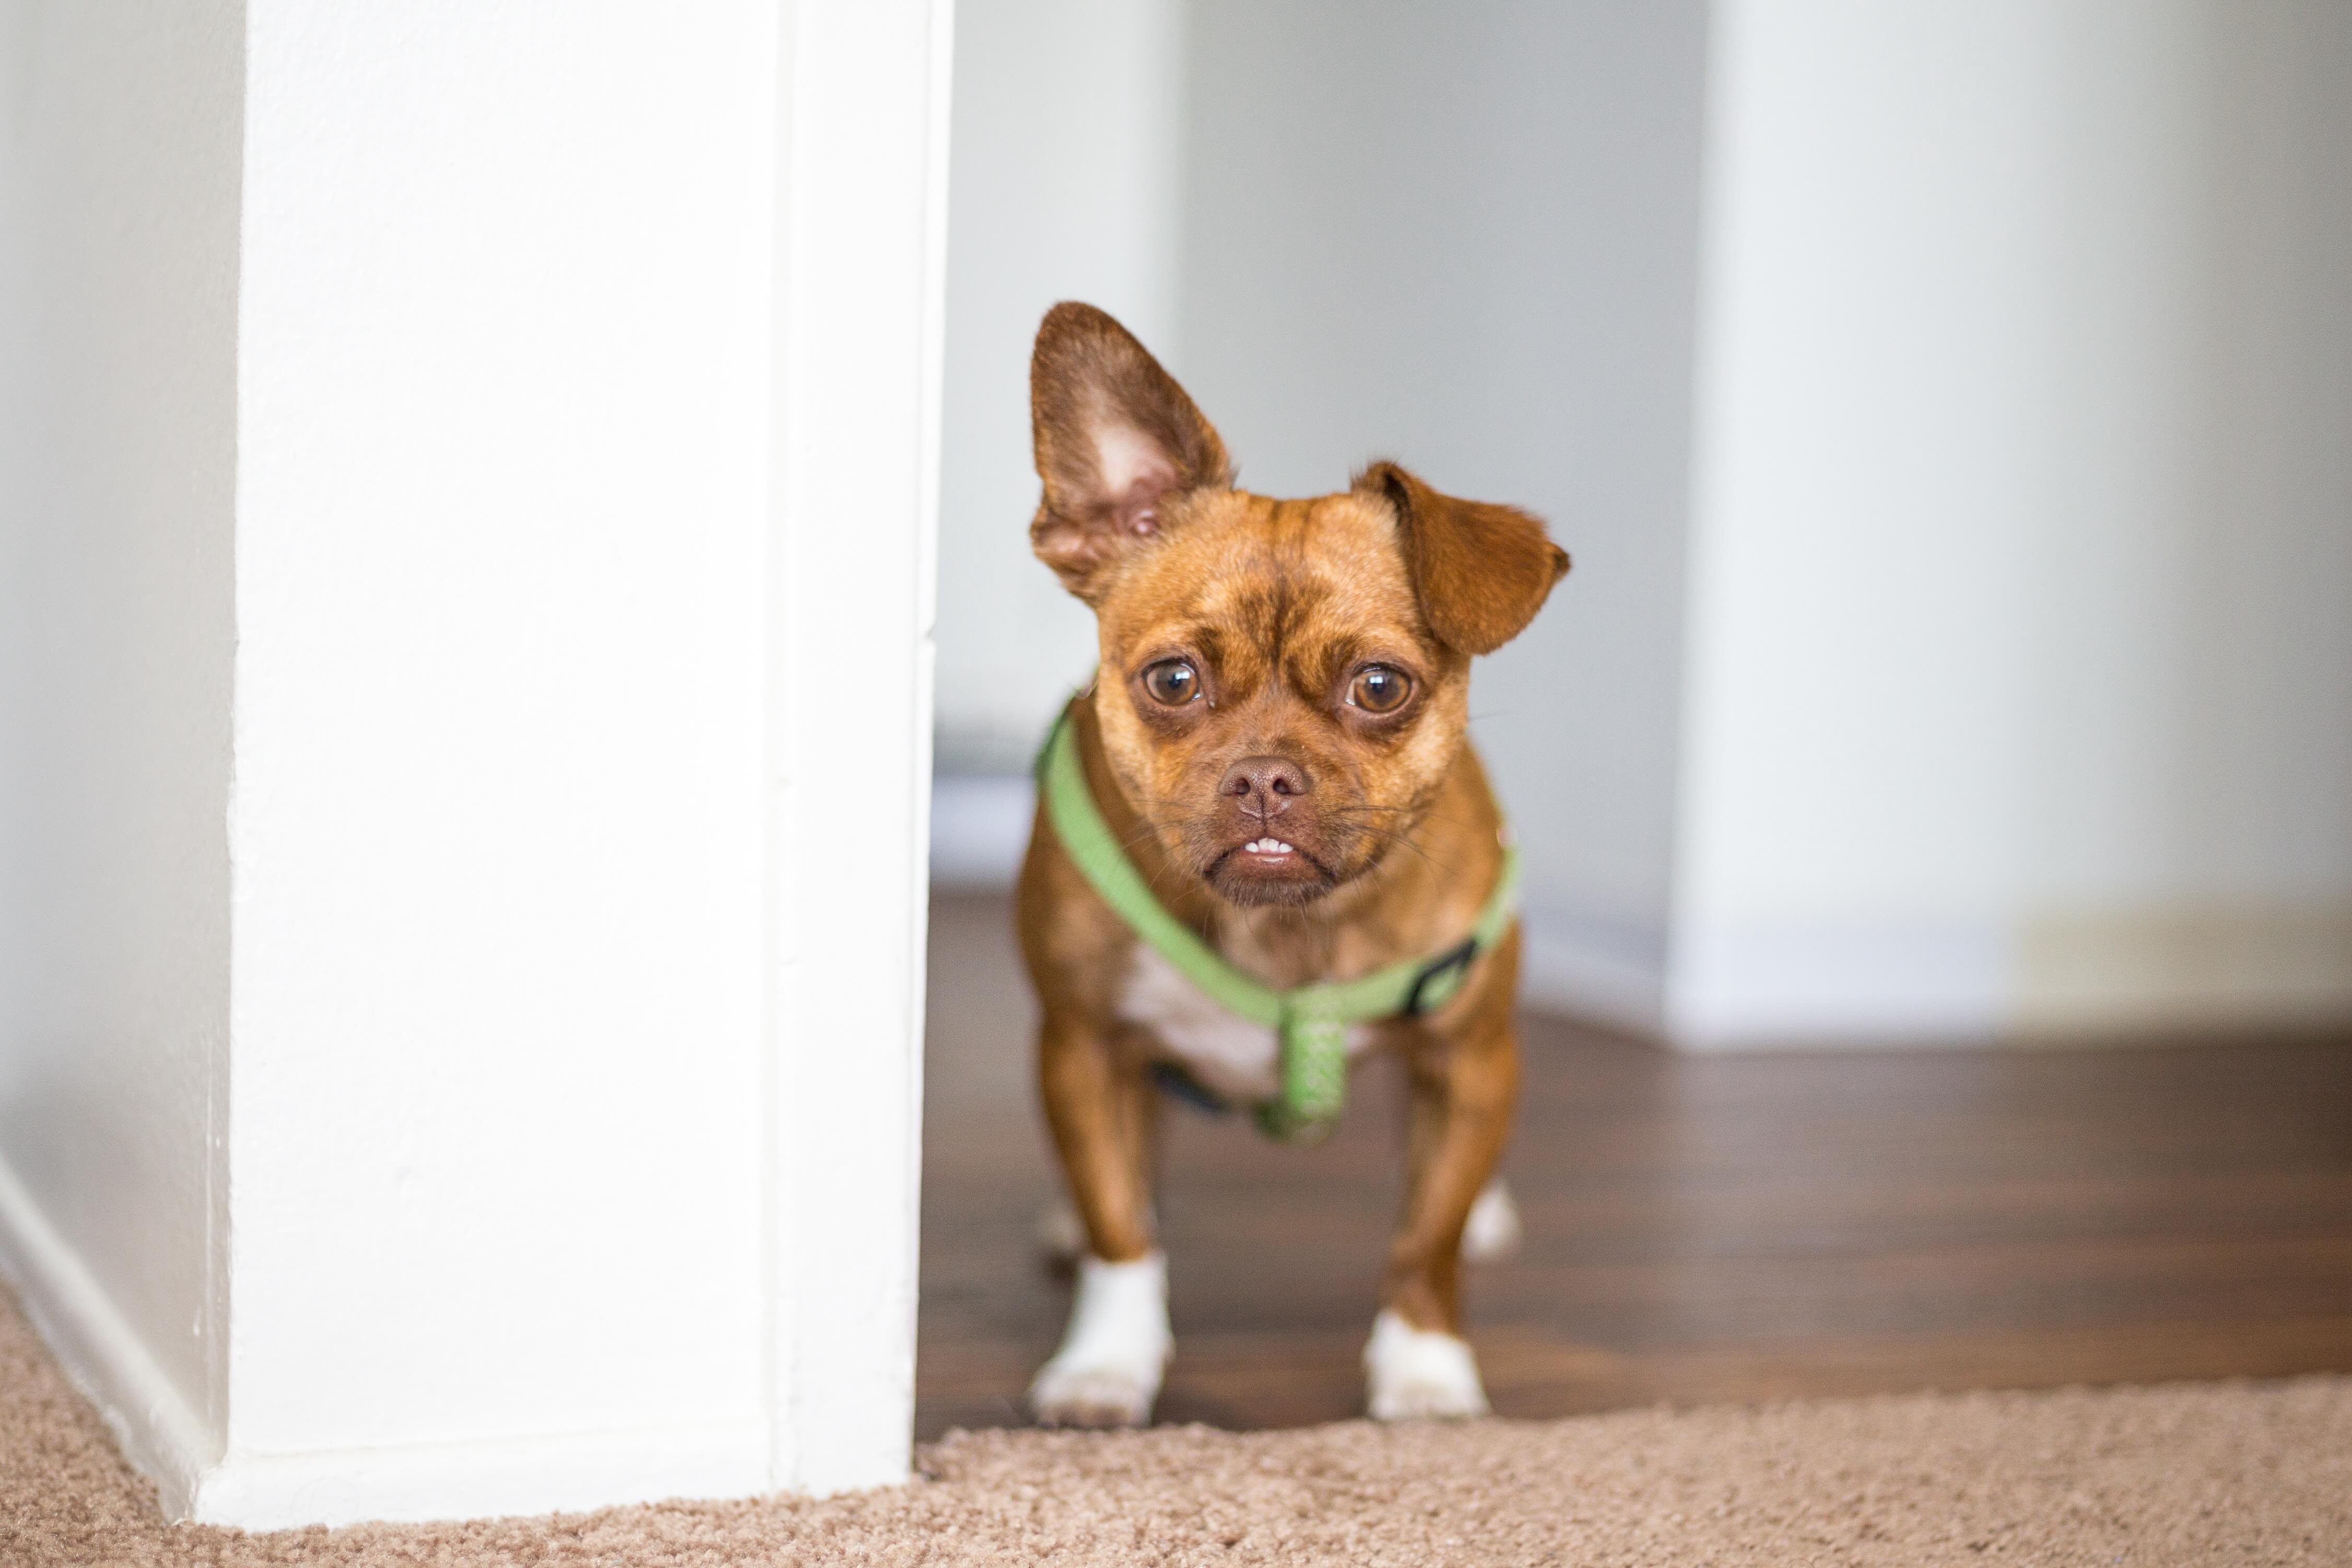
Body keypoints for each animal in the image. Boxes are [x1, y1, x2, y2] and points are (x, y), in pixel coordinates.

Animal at [1021, 301, 1571, 1429]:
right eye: (1171, 679)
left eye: (1380, 686)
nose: (1266, 776)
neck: (1284, 934)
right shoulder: (1084, 1048)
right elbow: (1120, 1227)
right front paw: (1106, 1366)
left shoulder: (1466, 1062)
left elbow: (1424, 1240)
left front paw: (1424, 1371)